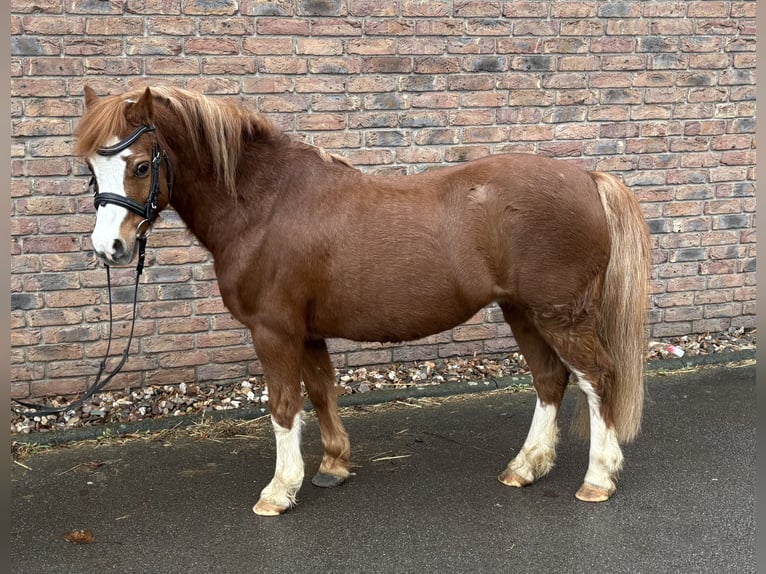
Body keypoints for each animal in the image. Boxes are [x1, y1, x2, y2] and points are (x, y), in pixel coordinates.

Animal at [74, 85, 651, 516]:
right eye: (92, 170)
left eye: (141, 165)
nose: (109, 249)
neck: (265, 206)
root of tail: (588, 178)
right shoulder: (306, 331)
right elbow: (321, 392)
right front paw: (333, 466)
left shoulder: (273, 330)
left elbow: (283, 405)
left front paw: (279, 490)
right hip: (523, 312)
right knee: (550, 380)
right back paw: (525, 467)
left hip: (560, 315)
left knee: (598, 378)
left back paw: (597, 478)